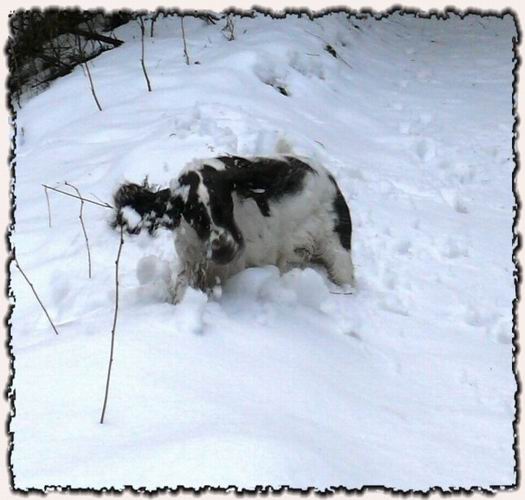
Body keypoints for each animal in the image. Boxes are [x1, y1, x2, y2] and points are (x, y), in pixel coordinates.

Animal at [112, 153, 355, 303]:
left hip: (336, 250)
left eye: (224, 204)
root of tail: (328, 176)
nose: (224, 250)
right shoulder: (193, 260)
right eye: (192, 215)